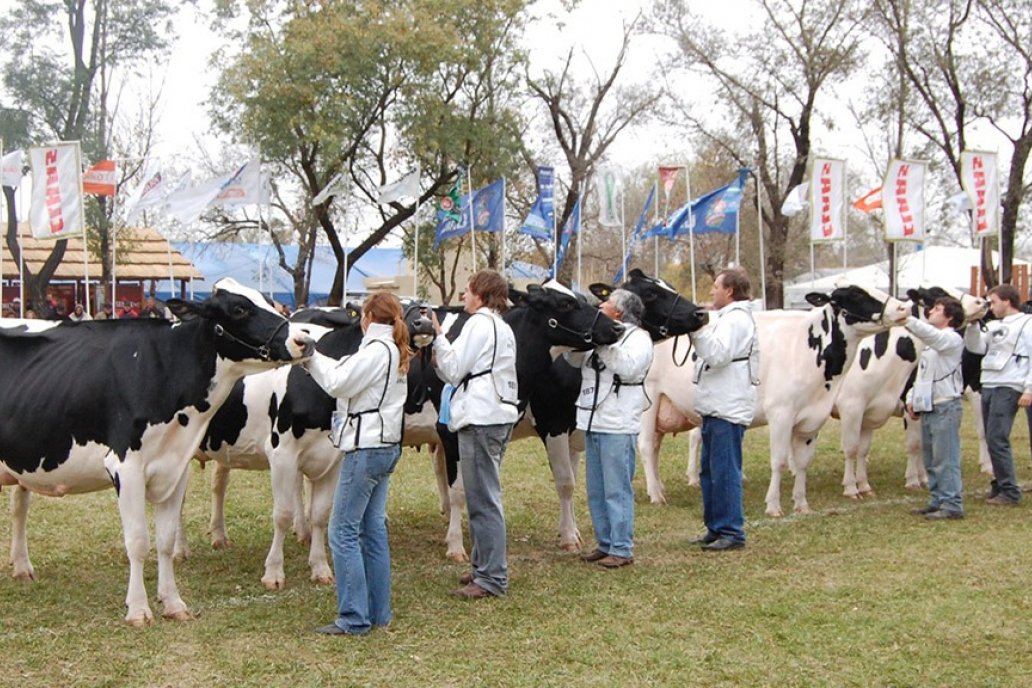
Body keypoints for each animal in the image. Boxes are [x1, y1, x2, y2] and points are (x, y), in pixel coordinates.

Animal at [1, 278, 313, 623]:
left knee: (19, 506)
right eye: (239, 309)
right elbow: (138, 541)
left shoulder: (175, 465)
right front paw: (138, 609)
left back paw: (22, 567)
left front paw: (173, 603)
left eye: (270, 301)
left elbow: (164, 540)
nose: (304, 340)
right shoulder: (125, 467)